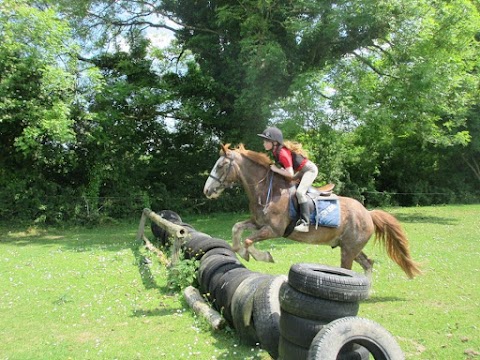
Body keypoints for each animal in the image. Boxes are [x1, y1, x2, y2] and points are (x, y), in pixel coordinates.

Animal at [202, 143, 420, 278]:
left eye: (221, 165)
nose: (207, 191)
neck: (268, 190)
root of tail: (368, 213)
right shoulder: (257, 223)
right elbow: (237, 228)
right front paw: (240, 251)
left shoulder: (273, 230)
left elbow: (248, 240)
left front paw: (262, 256)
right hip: (350, 247)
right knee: (368, 263)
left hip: (349, 251)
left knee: (351, 269)